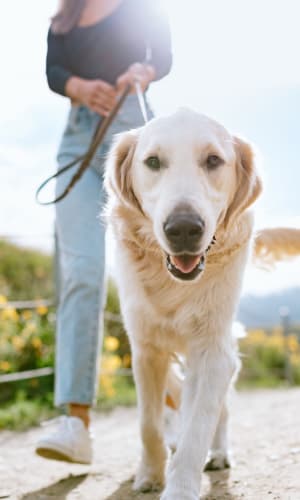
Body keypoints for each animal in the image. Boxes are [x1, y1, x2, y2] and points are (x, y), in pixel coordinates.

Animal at [104, 110, 300, 500]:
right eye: (152, 162)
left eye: (212, 161)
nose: (183, 229)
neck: (175, 286)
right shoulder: (145, 349)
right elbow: (149, 423)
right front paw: (150, 474)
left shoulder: (214, 352)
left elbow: (199, 426)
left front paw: (180, 486)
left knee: (218, 413)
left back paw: (219, 452)